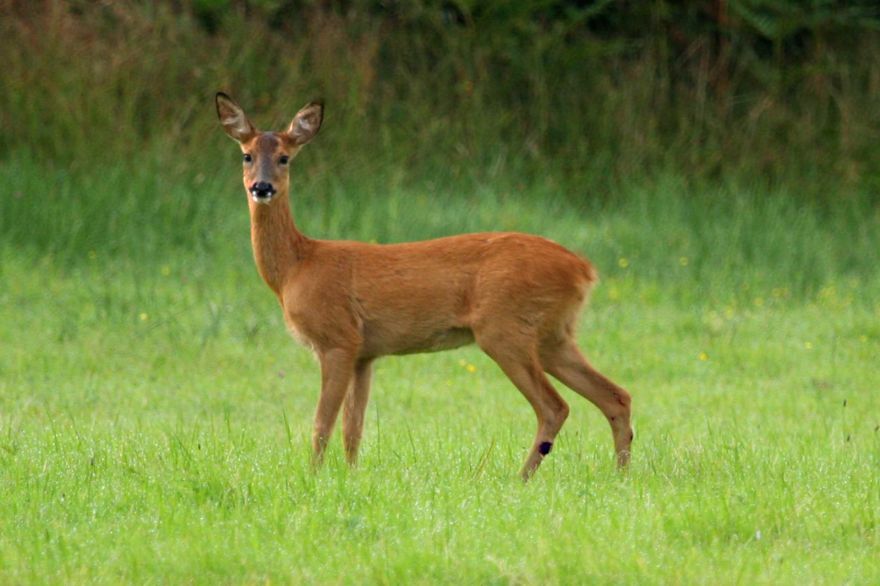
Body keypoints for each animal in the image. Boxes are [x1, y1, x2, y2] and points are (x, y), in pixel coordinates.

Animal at [215, 92, 633, 480]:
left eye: (285, 157)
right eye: (247, 155)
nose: (262, 187)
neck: (296, 267)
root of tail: (583, 269)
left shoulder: (337, 338)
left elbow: (322, 423)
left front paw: (313, 477)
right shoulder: (365, 352)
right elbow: (354, 428)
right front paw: (351, 477)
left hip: (505, 328)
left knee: (555, 406)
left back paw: (522, 478)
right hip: (554, 334)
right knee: (616, 395)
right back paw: (621, 475)